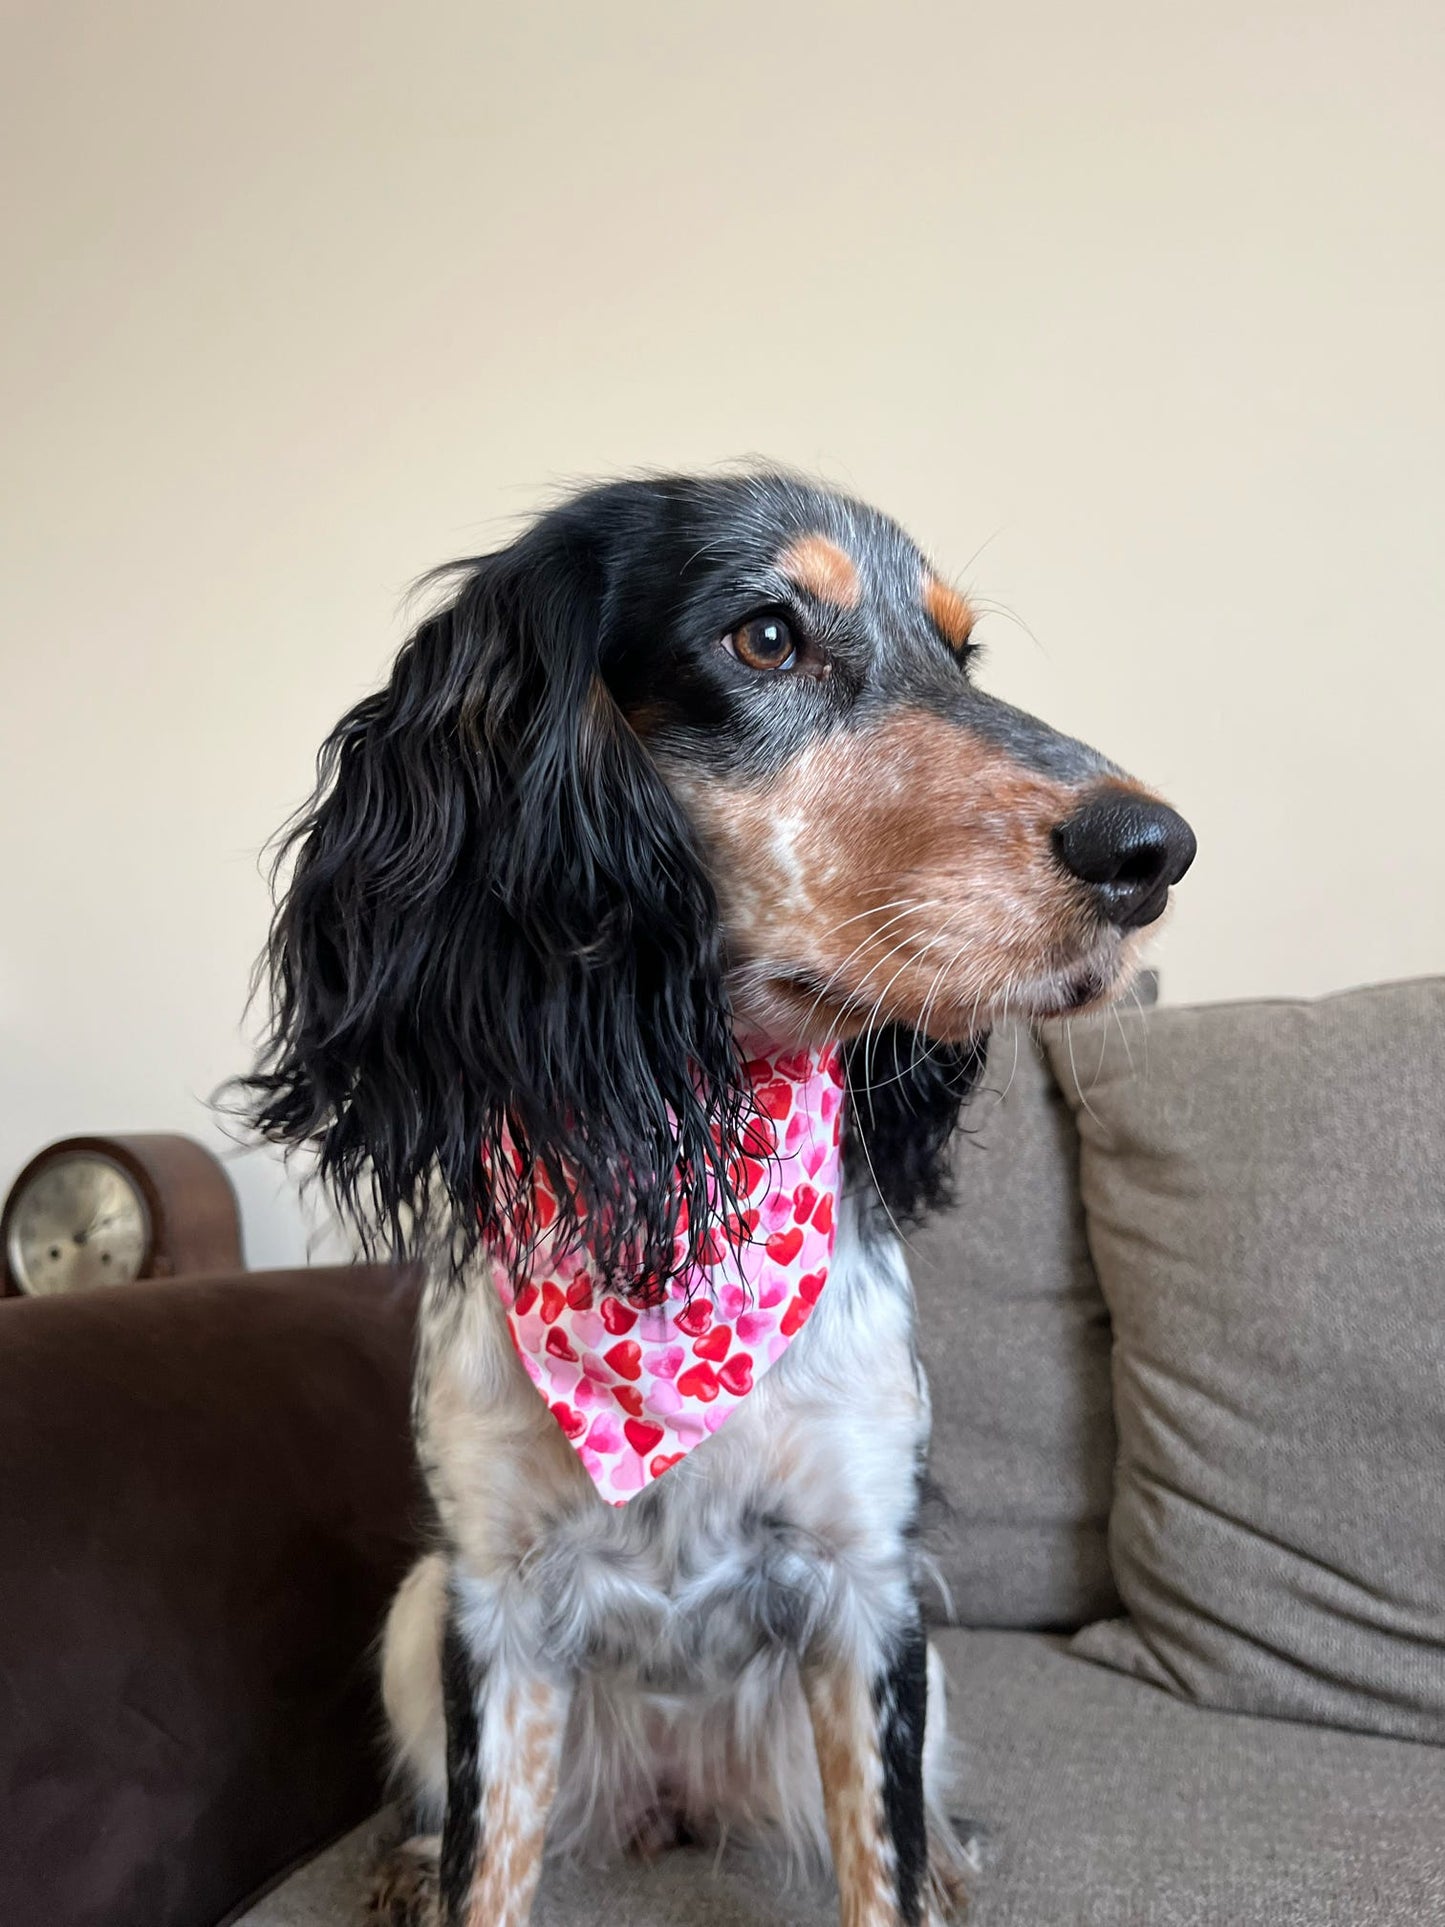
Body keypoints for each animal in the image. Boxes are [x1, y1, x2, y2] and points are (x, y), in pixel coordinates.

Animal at [252, 470, 1202, 1927]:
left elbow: (882, 1861)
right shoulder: (494, 1604)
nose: (1152, 848)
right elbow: (486, 1866)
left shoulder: (867, 1586)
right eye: (764, 637)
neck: (686, 1188)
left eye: (960, 653)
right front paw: (441, 1868)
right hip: (418, 1608)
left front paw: (922, 1873)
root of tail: (673, 1800)